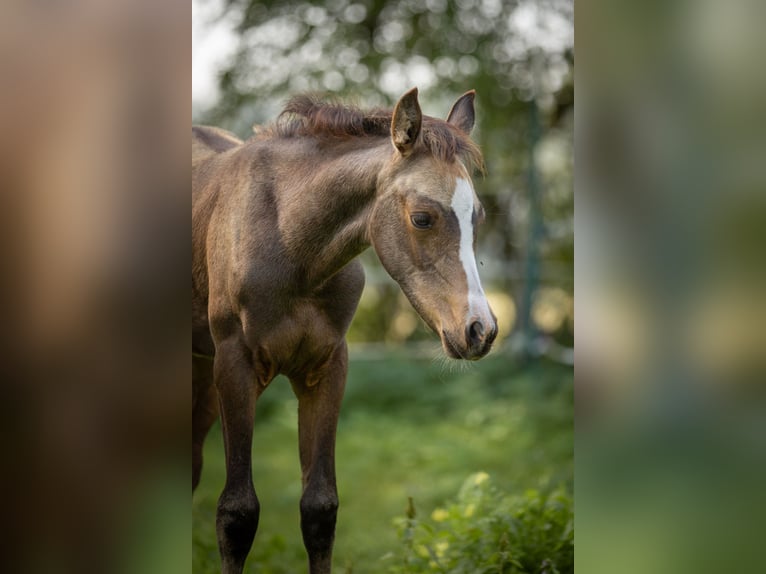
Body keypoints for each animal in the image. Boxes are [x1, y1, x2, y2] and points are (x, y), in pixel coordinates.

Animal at [194, 88, 498, 572]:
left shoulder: (327, 367)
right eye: (423, 218)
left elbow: (320, 509)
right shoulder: (234, 365)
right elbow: (237, 512)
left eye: (478, 217)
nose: (480, 331)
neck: (289, 241)